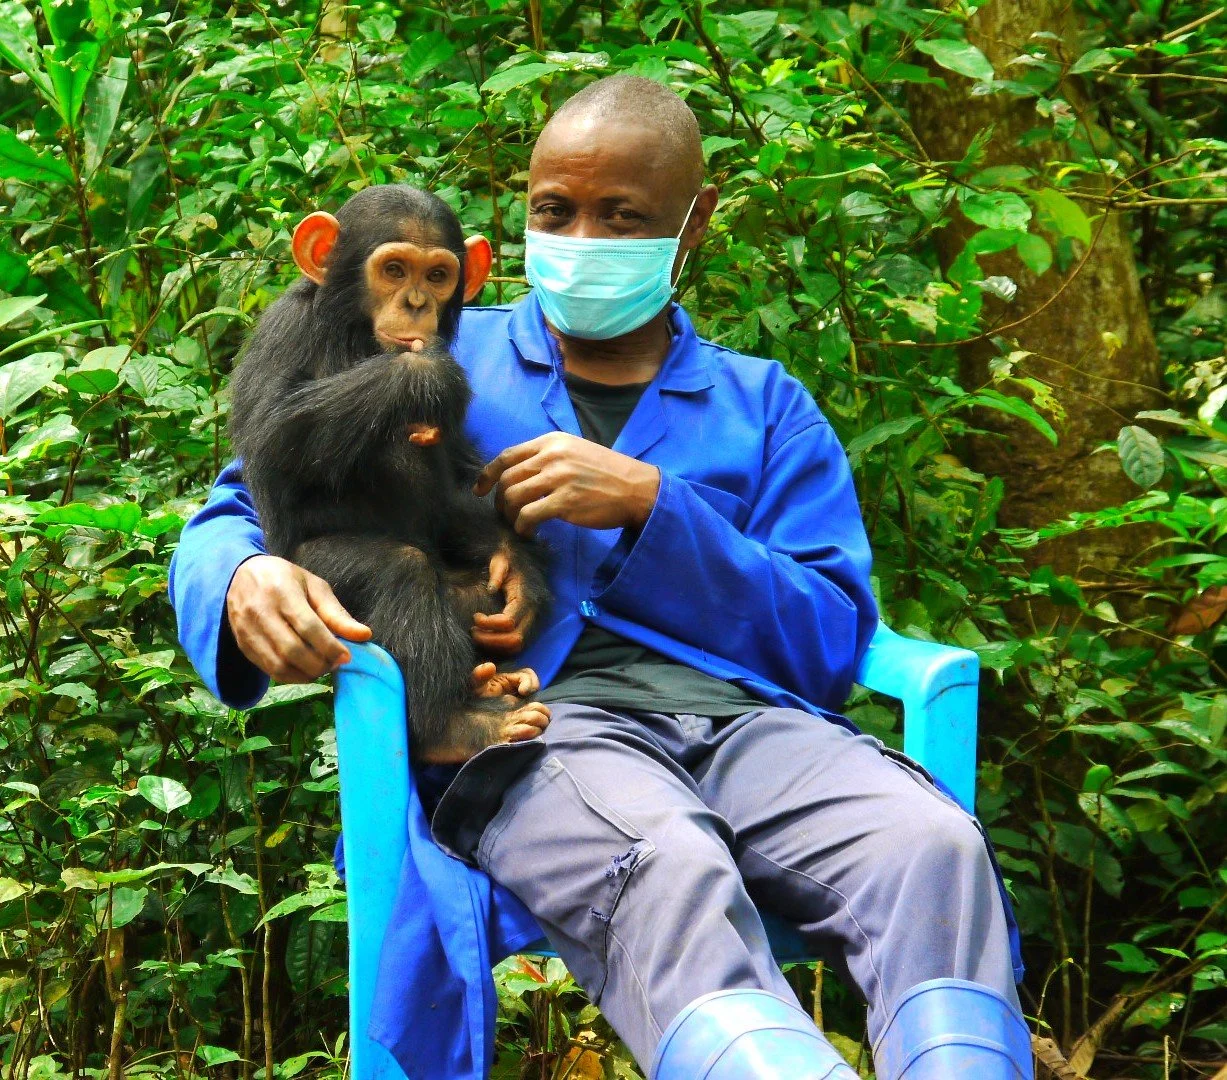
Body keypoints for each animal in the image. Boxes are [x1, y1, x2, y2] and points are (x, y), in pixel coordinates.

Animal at [227, 185, 551, 764]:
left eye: (437, 275)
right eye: (395, 270)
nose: (417, 304)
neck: (354, 334)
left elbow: (459, 480)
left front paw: (517, 568)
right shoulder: (285, 332)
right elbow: (272, 434)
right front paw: (426, 373)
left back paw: (492, 679)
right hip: (315, 576)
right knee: (399, 570)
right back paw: (457, 727)